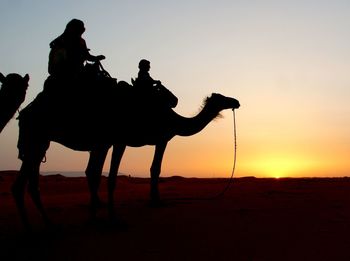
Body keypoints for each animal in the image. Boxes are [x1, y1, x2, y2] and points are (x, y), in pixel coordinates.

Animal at [12, 78, 239, 228]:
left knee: (27, 180)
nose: (236, 101)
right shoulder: (157, 139)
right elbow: (152, 169)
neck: (174, 120)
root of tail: (25, 112)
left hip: (39, 142)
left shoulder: (116, 142)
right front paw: (154, 202)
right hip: (39, 138)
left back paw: (40, 224)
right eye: (221, 97)